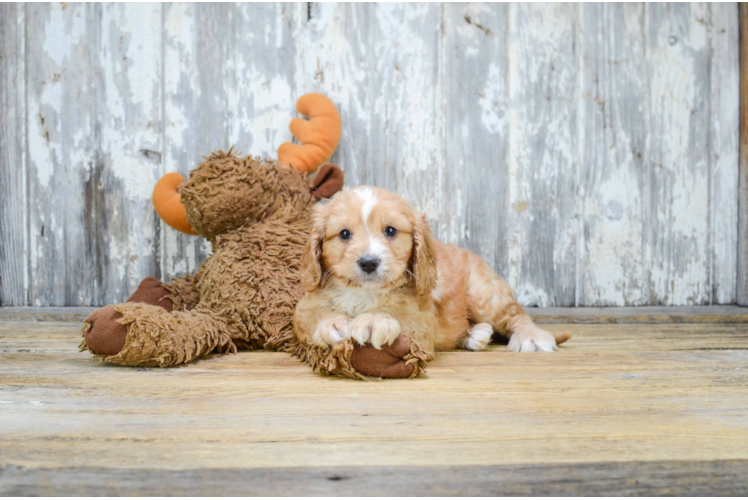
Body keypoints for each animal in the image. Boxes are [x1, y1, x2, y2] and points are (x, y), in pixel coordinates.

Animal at [292, 187, 568, 356]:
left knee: (514, 314)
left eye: (390, 231)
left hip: (482, 295)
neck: (365, 293)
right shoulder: (304, 308)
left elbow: (399, 316)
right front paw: (333, 322)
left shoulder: (422, 321)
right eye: (344, 234)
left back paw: (530, 336)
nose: (369, 262)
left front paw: (374, 320)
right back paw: (476, 335)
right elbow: (313, 316)